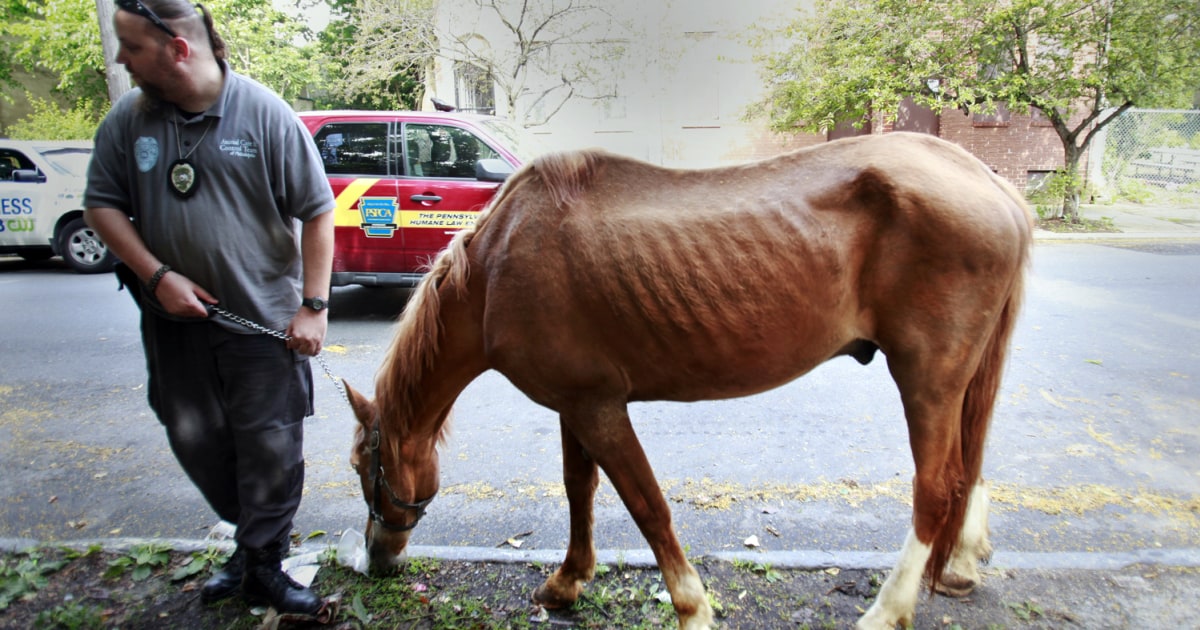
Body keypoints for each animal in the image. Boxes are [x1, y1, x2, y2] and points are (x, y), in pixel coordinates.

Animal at [343, 131, 1033, 630]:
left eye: (361, 468)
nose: (374, 560)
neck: (496, 270)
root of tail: (988, 183)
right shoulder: (574, 404)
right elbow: (578, 489)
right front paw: (568, 581)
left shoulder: (600, 410)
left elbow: (647, 507)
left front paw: (692, 609)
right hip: (960, 376)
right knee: (968, 467)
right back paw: (961, 564)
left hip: (926, 376)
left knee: (936, 489)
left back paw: (887, 611)